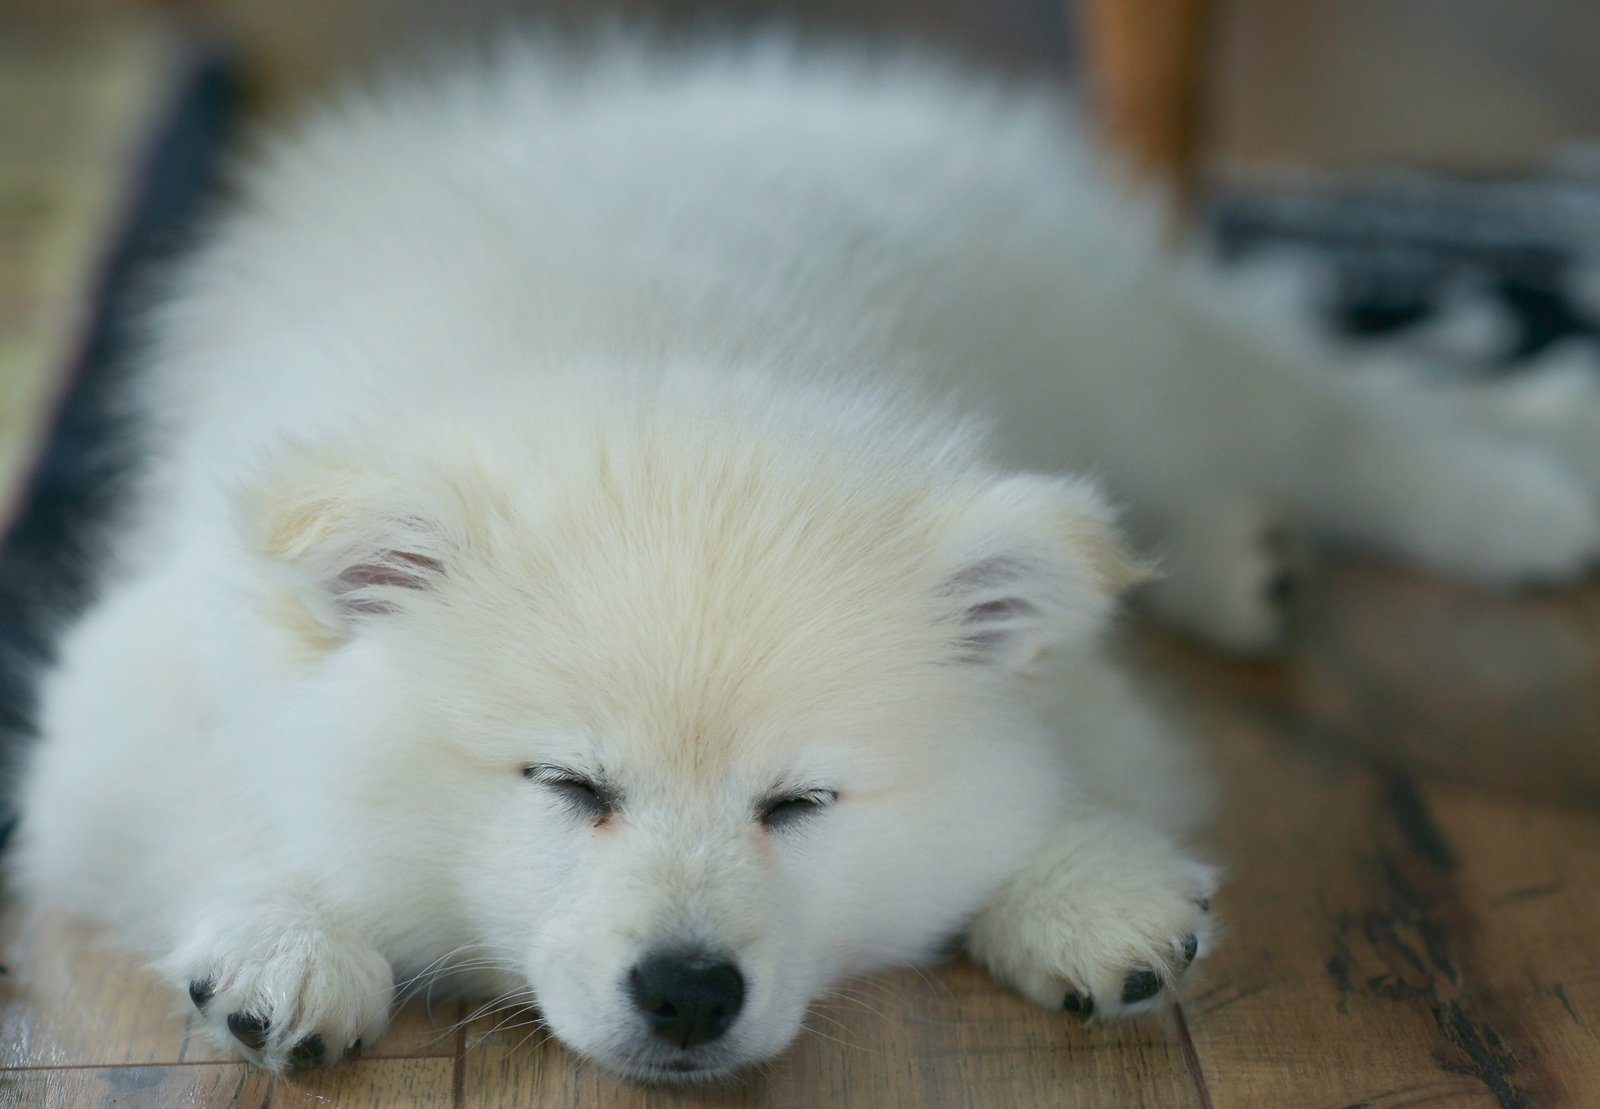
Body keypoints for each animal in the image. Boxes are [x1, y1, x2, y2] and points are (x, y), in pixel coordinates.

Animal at [15, 30, 1600, 1075]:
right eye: (570, 784)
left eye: (799, 803)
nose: (688, 989)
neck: (652, 367)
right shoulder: (129, 690)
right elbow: (218, 812)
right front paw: (285, 942)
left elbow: (1077, 762)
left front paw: (1088, 891)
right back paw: (1256, 554)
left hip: (1123, 350)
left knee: (1328, 408)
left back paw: (1514, 500)